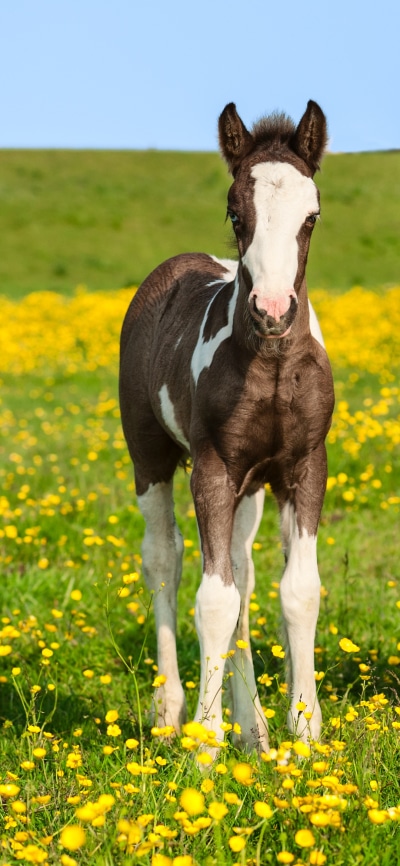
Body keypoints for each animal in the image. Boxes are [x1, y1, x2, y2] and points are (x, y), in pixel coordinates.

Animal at [119, 100, 334, 752]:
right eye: (236, 213)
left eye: (312, 215)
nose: (273, 310)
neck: (271, 366)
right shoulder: (213, 469)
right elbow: (212, 599)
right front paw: (206, 747)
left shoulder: (303, 468)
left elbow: (295, 591)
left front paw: (302, 733)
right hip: (150, 457)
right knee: (164, 560)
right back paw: (172, 714)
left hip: (252, 490)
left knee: (242, 572)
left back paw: (253, 729)